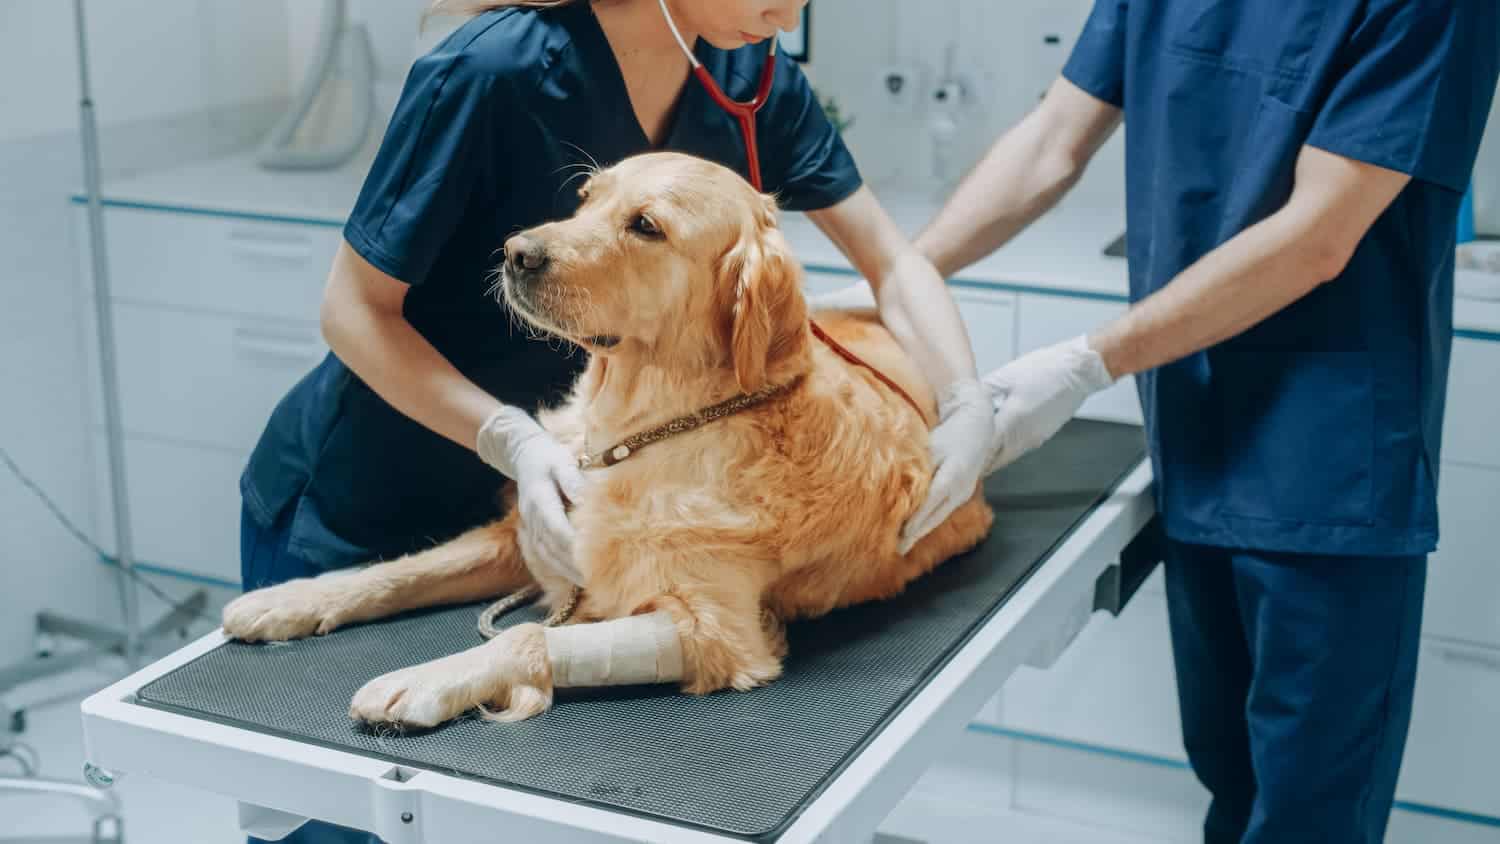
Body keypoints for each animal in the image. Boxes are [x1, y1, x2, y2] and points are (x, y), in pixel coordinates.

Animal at [219, 152, 996, 725]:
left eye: (646, 225)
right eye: (586, 198)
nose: (515, 252)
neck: (641, 431)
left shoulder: (718, 631)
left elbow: (532, 633)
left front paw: (425, 680)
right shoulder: (532, 533)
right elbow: (404, 569)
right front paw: (291, 599)